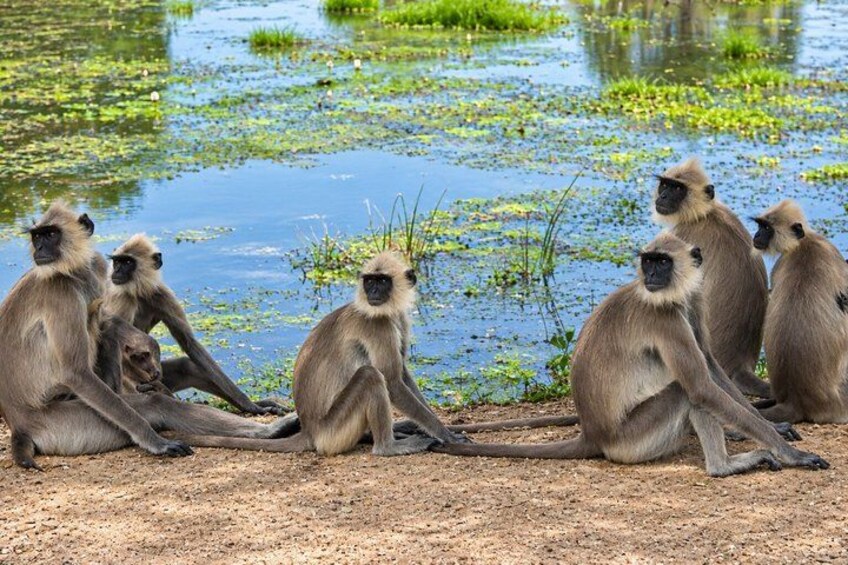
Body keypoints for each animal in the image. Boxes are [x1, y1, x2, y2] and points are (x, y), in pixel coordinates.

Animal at [103, 234, 287, 415]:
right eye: (117, 262)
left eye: (127, 262)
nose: (116, 271)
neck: (139, 292)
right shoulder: (123, 298)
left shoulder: (160, 294)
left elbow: (190, 344)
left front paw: (251, 405)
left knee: (187, 366)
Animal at [173, 252, 471, 456]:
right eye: (370, 281)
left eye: (382, 281)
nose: (373, 291)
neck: (383, 311)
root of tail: (310, 430)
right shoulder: (377, 325)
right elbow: (393, 382)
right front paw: (446, 434)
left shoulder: (397, 319)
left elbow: (403, 375)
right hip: (333, 430)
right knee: (371, 375)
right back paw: (388, 446)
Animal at [431, 233, 829, 477]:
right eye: (648, 262)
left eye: (662, 263)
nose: (651, 275)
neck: (668, 295)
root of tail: (594, 433)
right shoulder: (662, 317)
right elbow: (701, 385)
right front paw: (788, 452)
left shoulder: (692, 300)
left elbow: (710, 366)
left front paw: (772, 427)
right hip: (633, 440)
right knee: (686, 391)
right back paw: (724, 465)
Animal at [652, 157, 771, 399]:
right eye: (665, 185)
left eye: (677, 189)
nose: (664, 197)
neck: (705, 213)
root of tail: (740, 364)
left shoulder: (681, 236)